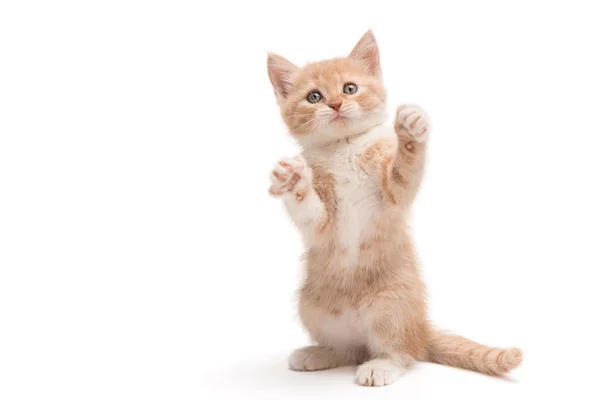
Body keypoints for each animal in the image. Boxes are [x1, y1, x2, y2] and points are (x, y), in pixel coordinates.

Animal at [266, 29, 520, 386]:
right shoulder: (321, 222)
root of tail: (421, 328)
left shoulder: (393, 195)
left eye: (350, 88)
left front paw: (412, 131)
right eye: (314, 97)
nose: (336, 104)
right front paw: (293, 179)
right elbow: (310, 210)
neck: (344, 148)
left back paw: (382, 365)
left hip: (393, 304)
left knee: (402, 351)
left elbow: (405, 171)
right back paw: (320, 353)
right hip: (311, 306)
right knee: (350, 349)